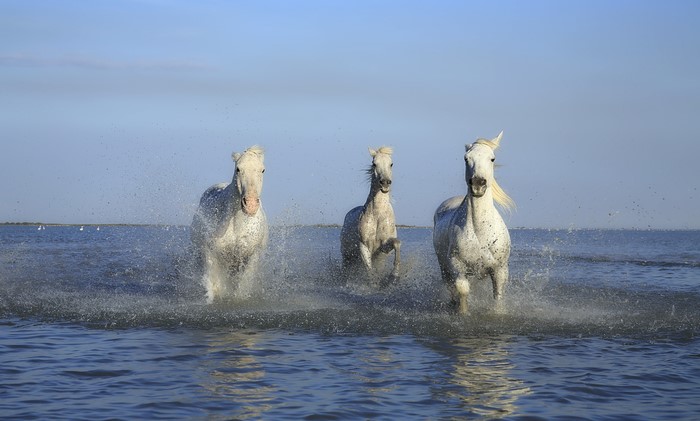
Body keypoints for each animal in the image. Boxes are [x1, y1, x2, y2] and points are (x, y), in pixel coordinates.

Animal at [191, 146, 268, 303]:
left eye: (262, 170)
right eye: (238, 169)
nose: (250, 205)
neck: (236, 224)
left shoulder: (251, 256)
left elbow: (242, 286)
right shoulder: (211, 253)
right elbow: (215, 286)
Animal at [340, 146, 401, 282]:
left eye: (391, 164)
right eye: (374, 164)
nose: (385, 183)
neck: (378, 215)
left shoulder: (383, 247)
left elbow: (397, 243)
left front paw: (394, 275)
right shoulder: (363, 246)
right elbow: (369, 270)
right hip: (347, 256)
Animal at [433, 131, 514, 314]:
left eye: (492, 158)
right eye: (466, 158)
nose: (478, 184)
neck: (481, 231)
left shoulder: (500, 270)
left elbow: (498, 296)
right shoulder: (457, 266)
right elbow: (462, 290)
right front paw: (463, 313)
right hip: (444, 267)